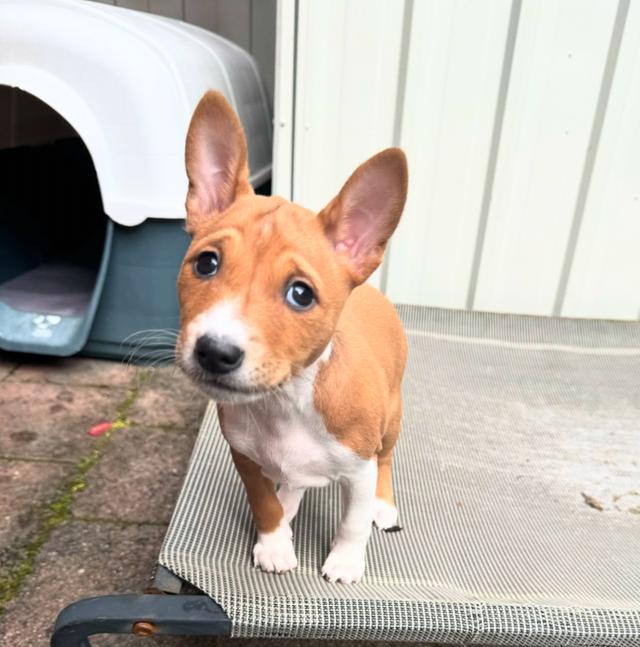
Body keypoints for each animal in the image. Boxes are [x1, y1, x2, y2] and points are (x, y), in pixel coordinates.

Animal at [176, 92, 404, 588]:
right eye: (206, 263)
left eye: (301, 294)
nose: (214, 352)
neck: (285, 403)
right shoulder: (244, 457)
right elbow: (264, 505)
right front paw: (275, 543)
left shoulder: (357, 467)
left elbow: (353, 521)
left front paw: (346, 561)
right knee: (293, 481)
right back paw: (290, 498)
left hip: (392, 420)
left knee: (386, 461)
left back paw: (383, 506)